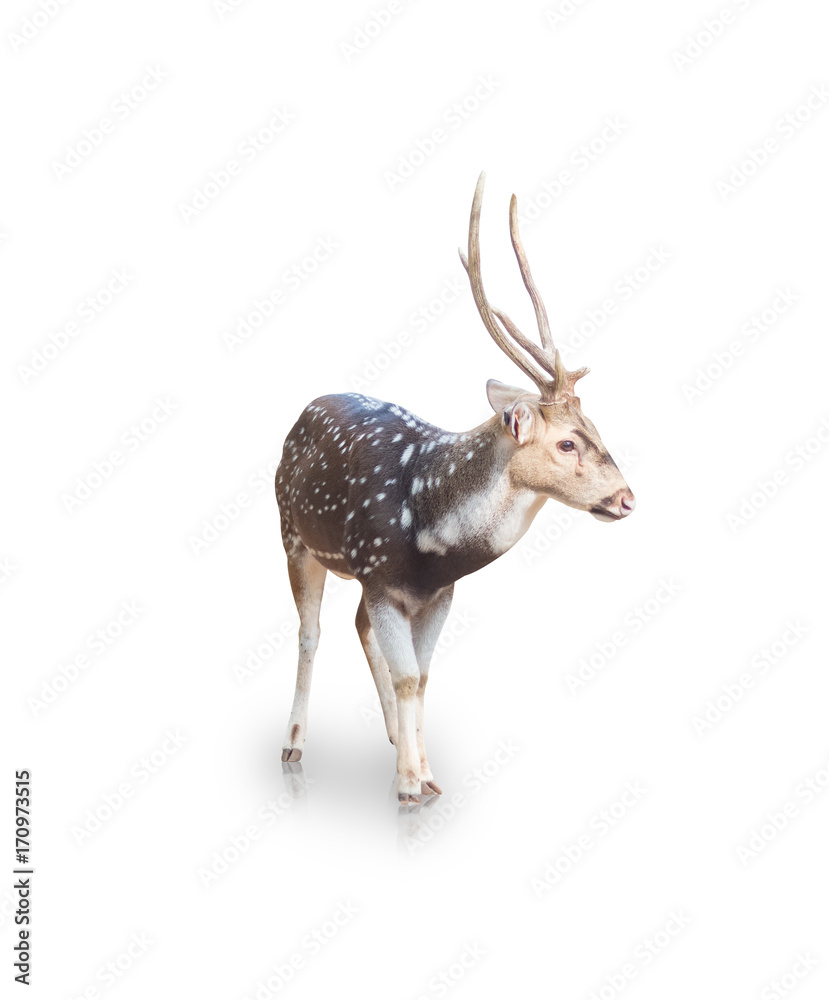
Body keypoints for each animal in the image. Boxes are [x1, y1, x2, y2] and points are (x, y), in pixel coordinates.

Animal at [274, 172, 635, 804]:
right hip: (291, 535)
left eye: (595, 426)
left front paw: (426, 774)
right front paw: (409, 786)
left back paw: (392, 735)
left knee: (358, 626)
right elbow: (408, 674)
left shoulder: (436, 594)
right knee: (310, 632)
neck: (431, 542)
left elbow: (421, 675)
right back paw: (294, 743)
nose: (626, 498)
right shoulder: (379, 574)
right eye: (568, 443)